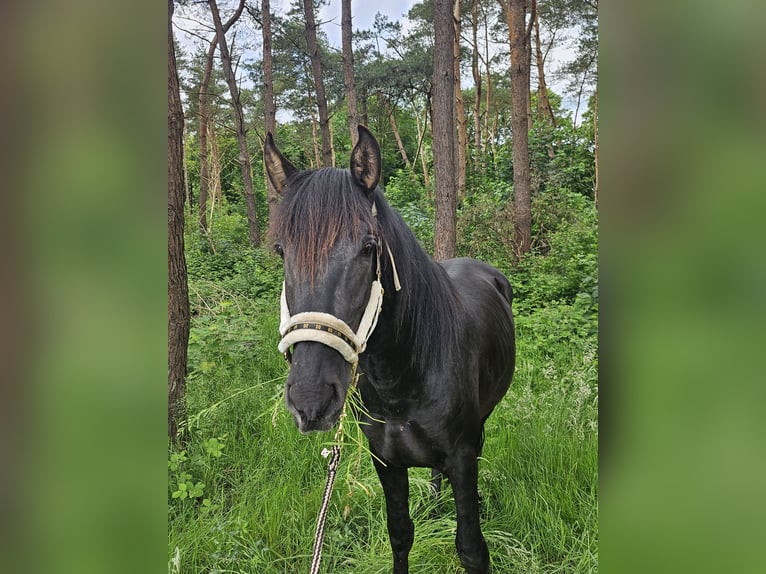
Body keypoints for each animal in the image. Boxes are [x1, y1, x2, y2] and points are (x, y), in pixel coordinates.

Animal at [264, 127, 516, 574]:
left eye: (368, 247)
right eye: (282, 251)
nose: (311, 400)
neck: (403, 377)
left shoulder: (462, 457)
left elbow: (471, 548)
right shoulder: (386, 461)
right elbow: (400, 533)